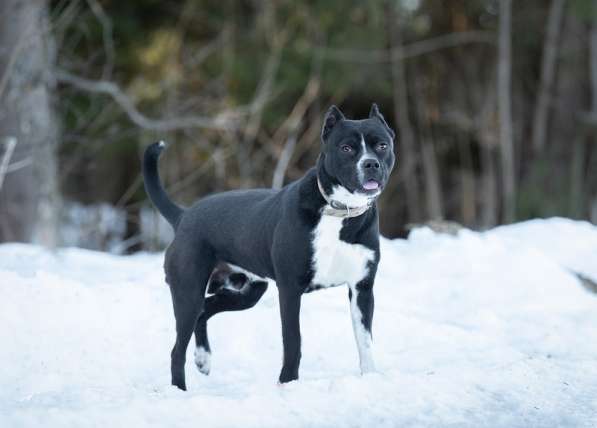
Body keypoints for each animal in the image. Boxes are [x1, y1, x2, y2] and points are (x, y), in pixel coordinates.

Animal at [143, 103, 396, 388]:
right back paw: (180, 389)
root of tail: (184, 215)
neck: (338, 212)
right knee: (178, 348)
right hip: (188, 293)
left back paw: (203, 358)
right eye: (347, 148)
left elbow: (365, 341)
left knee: (205, 311)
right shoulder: (290, 289)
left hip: (247, 292)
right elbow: (293, 341)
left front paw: (371, 378)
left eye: (382, 145)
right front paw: (288, 383)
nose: (371, 163)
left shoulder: (362, 287)